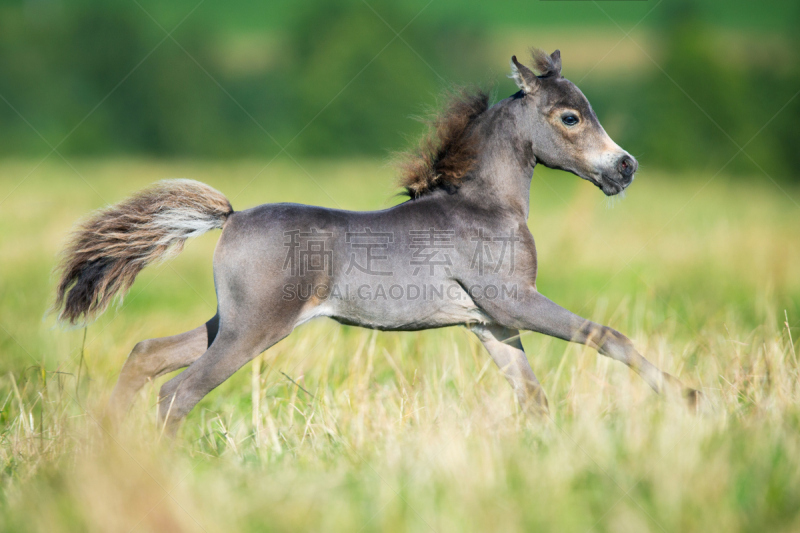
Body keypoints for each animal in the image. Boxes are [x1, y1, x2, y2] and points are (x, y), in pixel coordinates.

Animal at [53, 48, 696, 432]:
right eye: (569, 118)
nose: (625, 168)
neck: (485, 205)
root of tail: (231, 218)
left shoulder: (490, 322)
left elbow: (532, 396)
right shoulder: (513, 301)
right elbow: (605, 335)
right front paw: (687, 397)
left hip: (230, 322)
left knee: (147, 354)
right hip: (253, 329)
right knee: (178, 391)